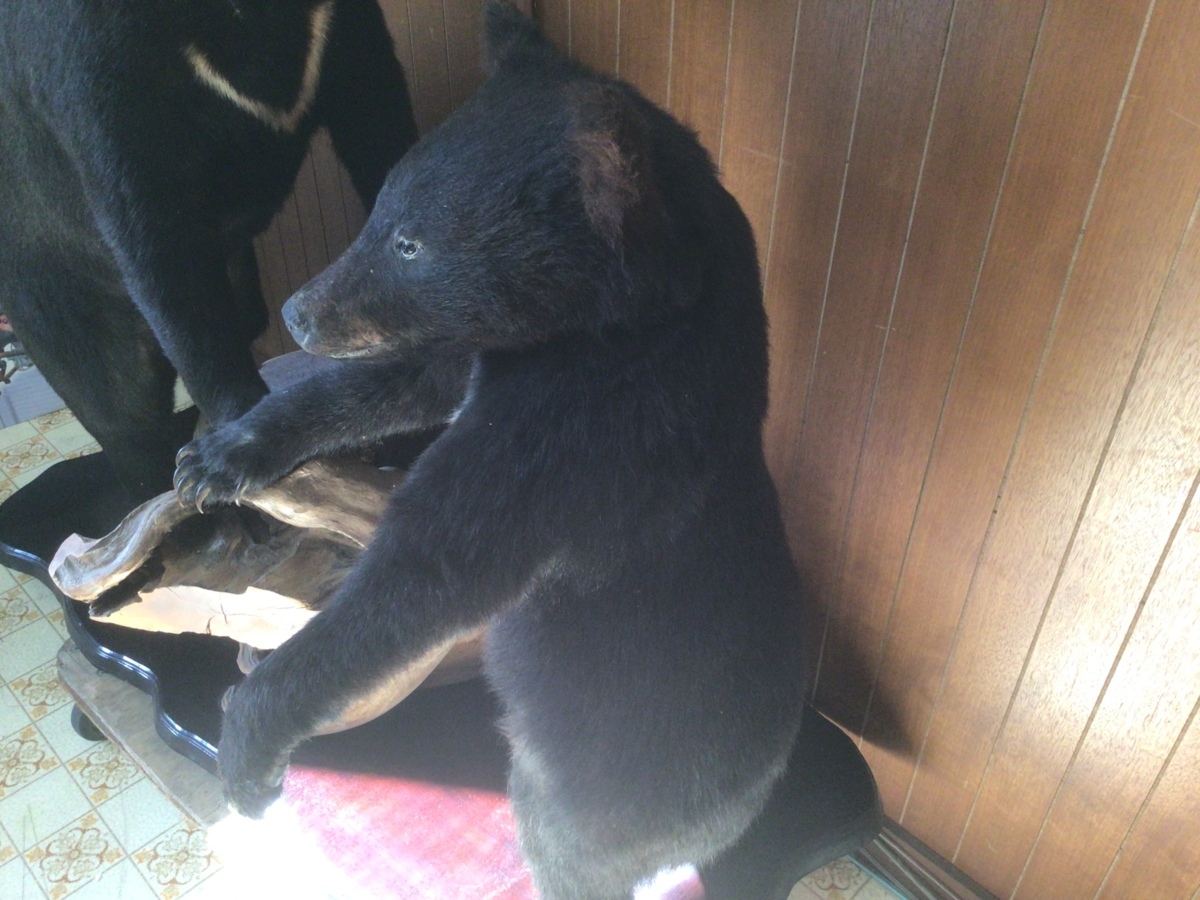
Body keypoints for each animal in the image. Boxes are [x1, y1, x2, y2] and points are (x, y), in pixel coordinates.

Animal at [0, 0, 417, 504]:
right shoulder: (94, 59)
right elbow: (156, 235)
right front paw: (225, 453)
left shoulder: (337, 24)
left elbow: (377, 120)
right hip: (54, 288)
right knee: (120, 408)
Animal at [174, 3, 808, 897]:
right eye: (382, 211)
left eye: (410, 244)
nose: (298, 311)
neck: (616, 327)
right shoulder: (491, 358)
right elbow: (400, 380)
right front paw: (223, 453)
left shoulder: (583, 438)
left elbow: (427, 572)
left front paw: (248, 750)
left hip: (603, 789)